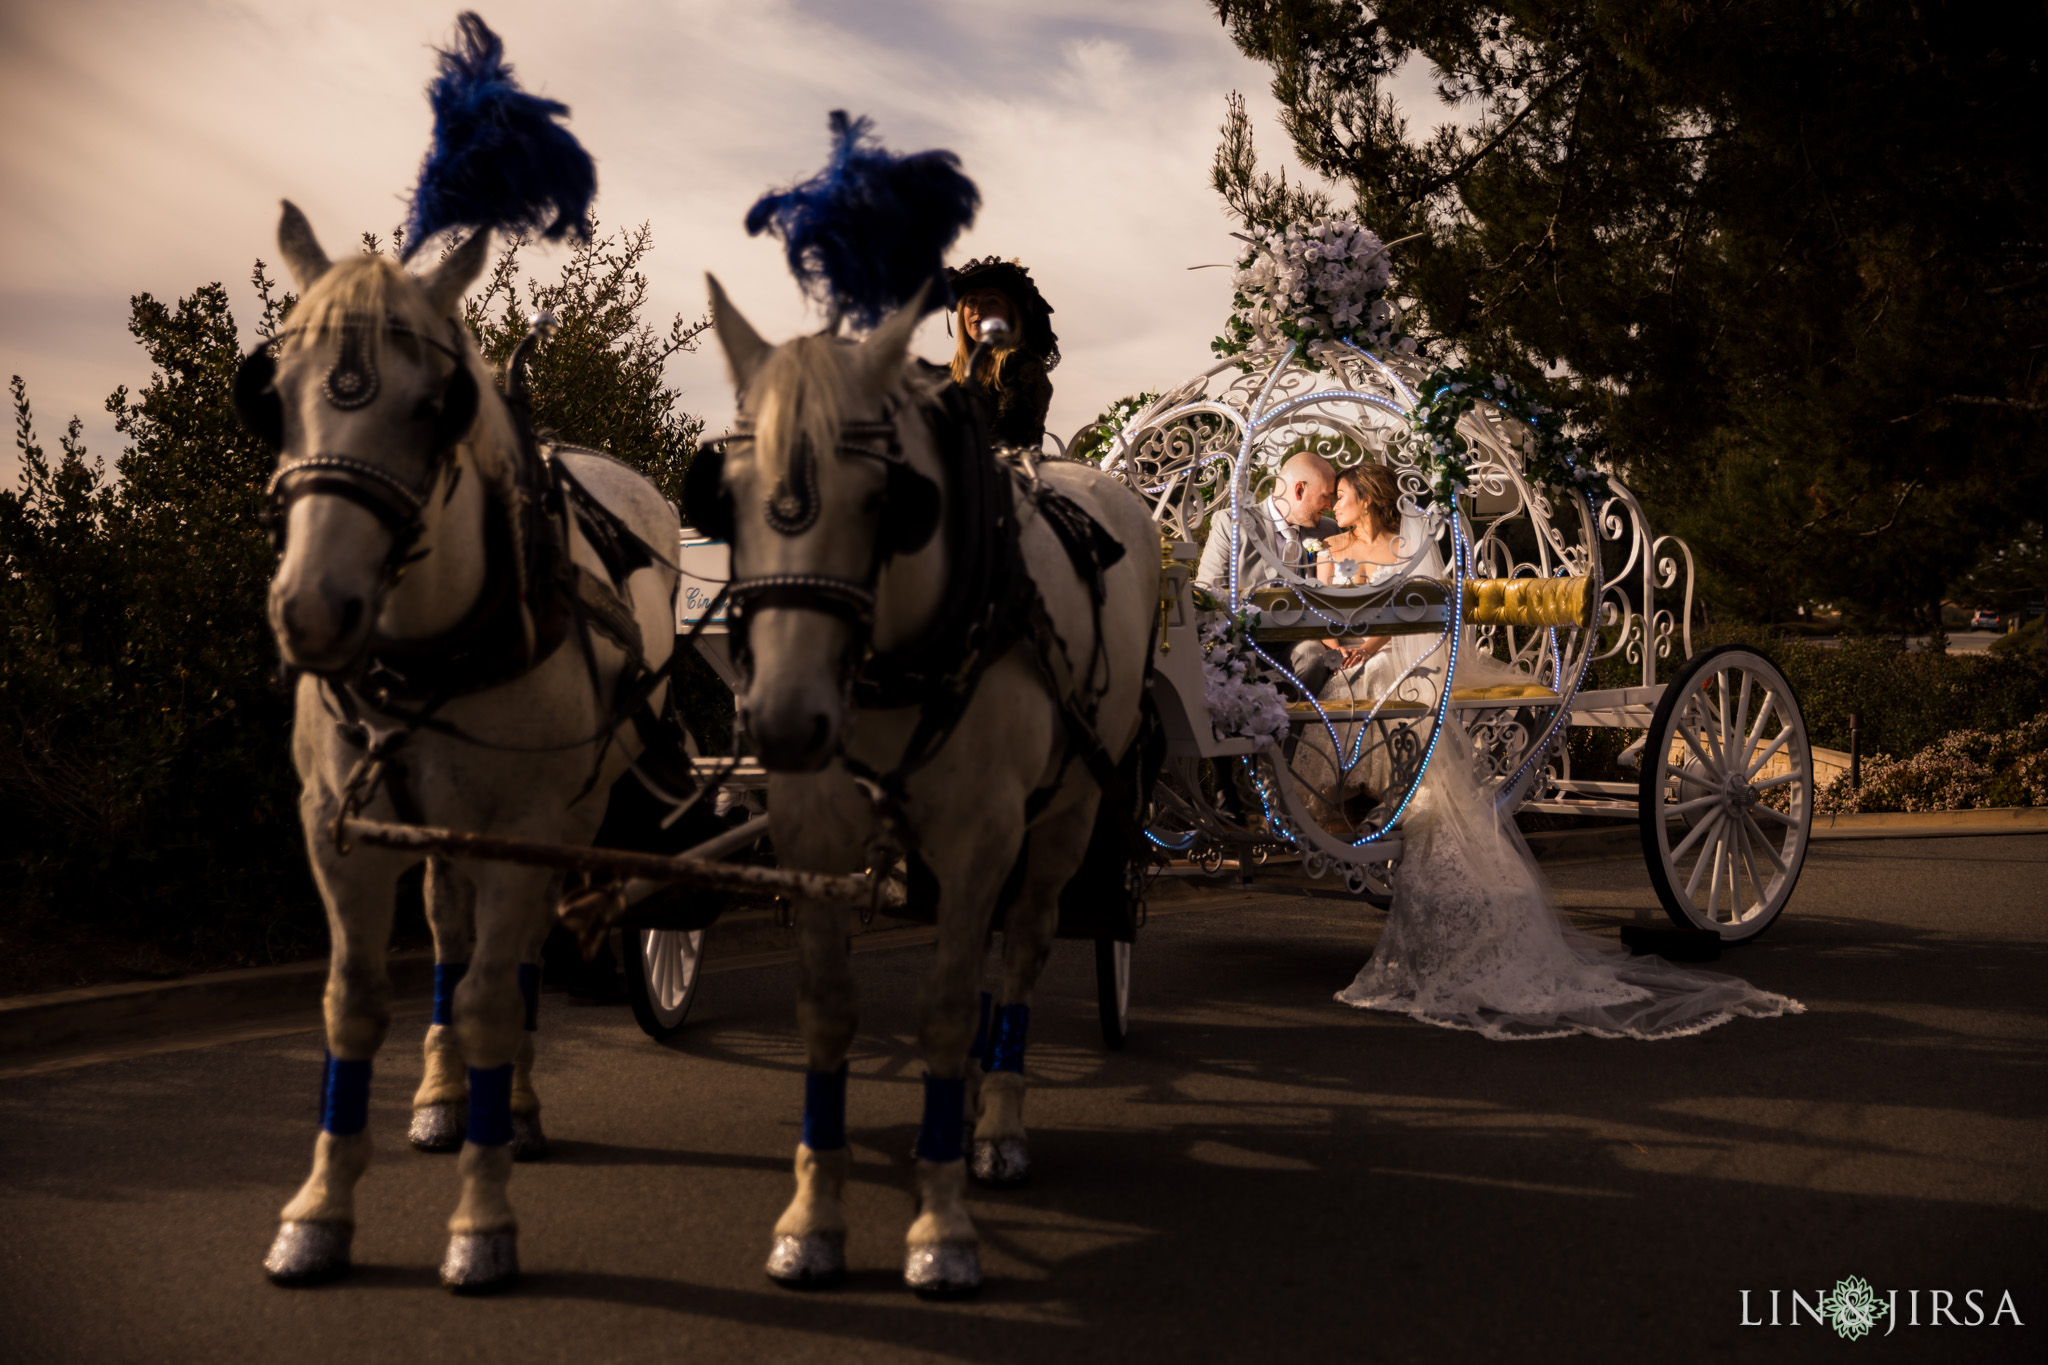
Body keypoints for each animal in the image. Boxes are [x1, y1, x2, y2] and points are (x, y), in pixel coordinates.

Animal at [251, 202, 684, 1293]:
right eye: (271, 395)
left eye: (435, 406)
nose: (312, 612)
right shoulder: (339, 835)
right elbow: (354, 1005)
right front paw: (319, 1211)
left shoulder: (526, 829)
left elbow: (496, 999)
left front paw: (482, 1221)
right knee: (451, 935)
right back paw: (446, 1098)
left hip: (562, 818)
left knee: (513, 960)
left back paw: (513, 1107)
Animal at [700, 280, 1155, 1301]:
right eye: (728, 493)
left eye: (888, 501)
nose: (784, 720)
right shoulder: (814, 829)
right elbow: (828, 1008)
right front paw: (812, 1218)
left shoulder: (984, 831)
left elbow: (947, 1010)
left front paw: (943, 1224)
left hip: (1066, 817)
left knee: (1021, 950)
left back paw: (999, 1125)